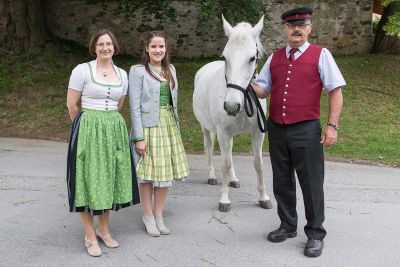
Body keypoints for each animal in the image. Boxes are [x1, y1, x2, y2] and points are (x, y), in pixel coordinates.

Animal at [193, 16, 272, 214]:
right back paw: (212, 176)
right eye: (225, 57)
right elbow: (225, 163)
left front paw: (263, 198)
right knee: (209, 148)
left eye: (252, 58)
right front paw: (224, 200)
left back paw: (233, 179)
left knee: (229, 151)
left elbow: (258, 163)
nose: (231, 106)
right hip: (206, 128)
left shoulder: (258, 133)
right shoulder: (222, 132)